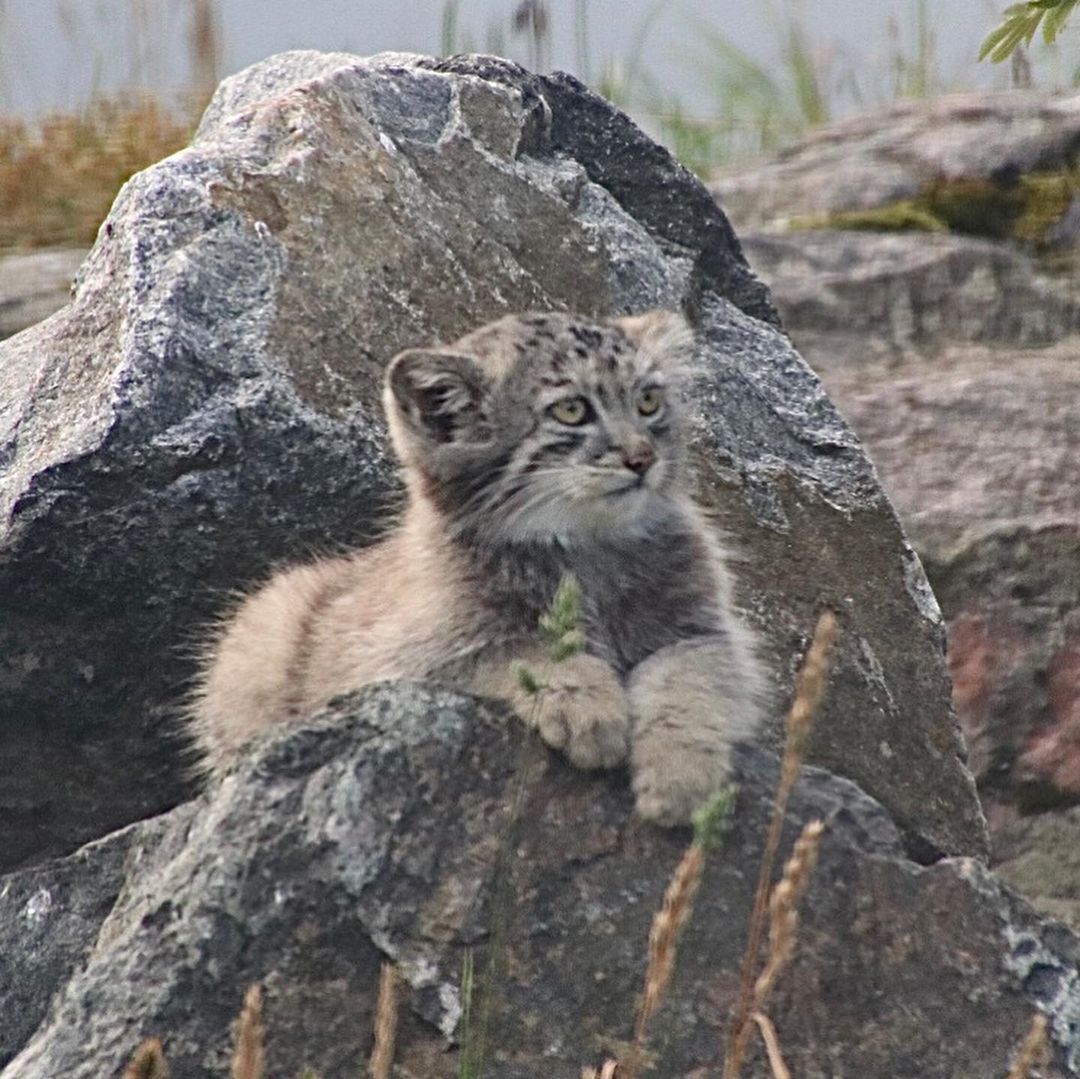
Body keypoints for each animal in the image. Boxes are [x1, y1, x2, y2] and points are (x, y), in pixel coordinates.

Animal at [194, 313, 768, 825]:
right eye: (572, 410)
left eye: (649, 402)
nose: (643, 457)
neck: (586, 549)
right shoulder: (401, 661)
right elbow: (514, 648)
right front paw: (586, 704)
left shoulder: (700, 625)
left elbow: (692, 680)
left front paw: (681, 776)